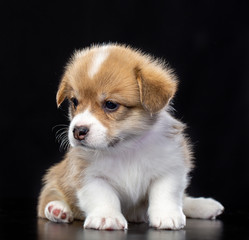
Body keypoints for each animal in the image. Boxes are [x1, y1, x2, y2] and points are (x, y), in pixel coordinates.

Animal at [37, 43, 224, 231]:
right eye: (74, 102)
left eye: (110, 104)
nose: (78, 131)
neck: (126, 147)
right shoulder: (89, 176)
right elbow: (103, 196)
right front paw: (107, 217)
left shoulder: (170, 167)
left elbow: (165, 193)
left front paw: (167, 216)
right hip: (54, 178)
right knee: (48, 197)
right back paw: (57, 210)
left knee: (184, 200)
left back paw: (205, 206)